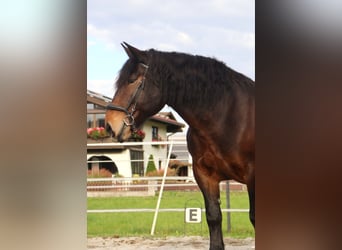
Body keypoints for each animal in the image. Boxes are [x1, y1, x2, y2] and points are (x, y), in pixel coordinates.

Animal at [105, 42, 255, 249]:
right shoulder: (204, 175)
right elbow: (213, 217)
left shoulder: (253, 176)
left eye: (132, 80)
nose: (109, 125)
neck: (228, 117)